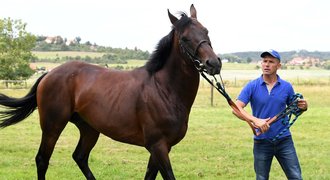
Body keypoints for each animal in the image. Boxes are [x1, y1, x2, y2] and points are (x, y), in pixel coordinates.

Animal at [0, 3, 222, 179]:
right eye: (184, 38)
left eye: (206, 31)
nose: (213, 64)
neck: (163, 90)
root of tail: (49, 73)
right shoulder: (158, 146)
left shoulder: (160, 148)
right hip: (52, 126)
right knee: (42, 160)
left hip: (89, 128)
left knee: (80, 157)